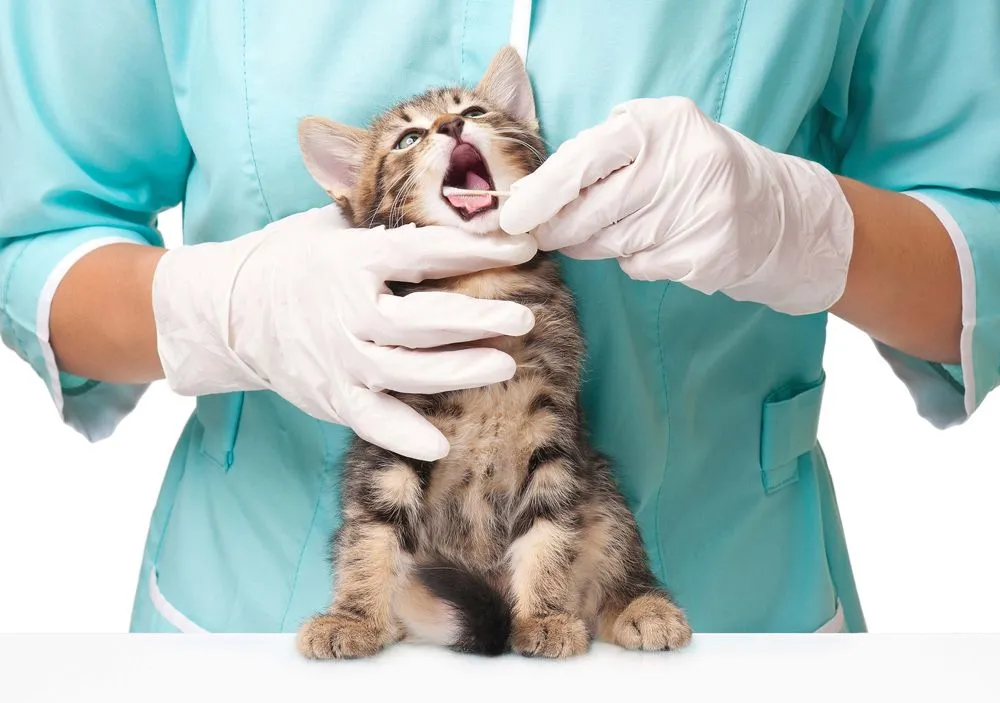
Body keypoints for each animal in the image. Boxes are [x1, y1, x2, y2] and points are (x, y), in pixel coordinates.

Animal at [292, 46, 692, 656]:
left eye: (474, 111)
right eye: (408, 139)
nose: (451, 126)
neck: (481, 287)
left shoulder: (552, 427)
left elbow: (549, 529)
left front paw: (544, 616)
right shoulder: (394, 435)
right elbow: (371, 534)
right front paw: (354, 617)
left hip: (601, 491)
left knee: (614, 548)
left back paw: (640, 606)